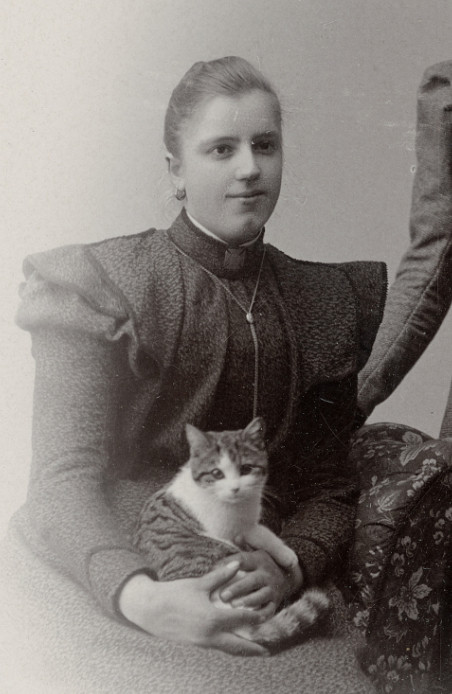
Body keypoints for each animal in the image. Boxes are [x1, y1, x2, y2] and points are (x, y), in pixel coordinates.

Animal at [132, 416, 330, 648]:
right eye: (217, 473)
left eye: (246, 469)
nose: (235, 488)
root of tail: (239, 627)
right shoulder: (227, 530)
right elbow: (255, 533)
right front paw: (285, 555)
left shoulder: (246, 524)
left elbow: (261, 532)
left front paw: (287, 555)